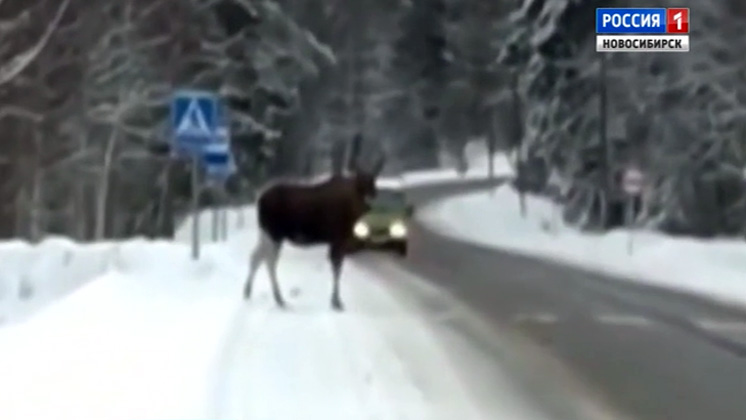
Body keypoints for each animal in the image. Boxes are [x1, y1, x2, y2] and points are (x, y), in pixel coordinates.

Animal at [243, 144, 384, 312]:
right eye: (359, 184)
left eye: (373, 183)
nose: (369, 201)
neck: (352, 212)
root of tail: (260, 200)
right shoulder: (338, 238)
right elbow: (337, 267)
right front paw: (336, 301)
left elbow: (337, 267)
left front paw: (335, 300)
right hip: (274, 233)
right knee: (269, 260)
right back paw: (278, 298)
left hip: (265, 232)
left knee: (256, 256)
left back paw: (248, 291)